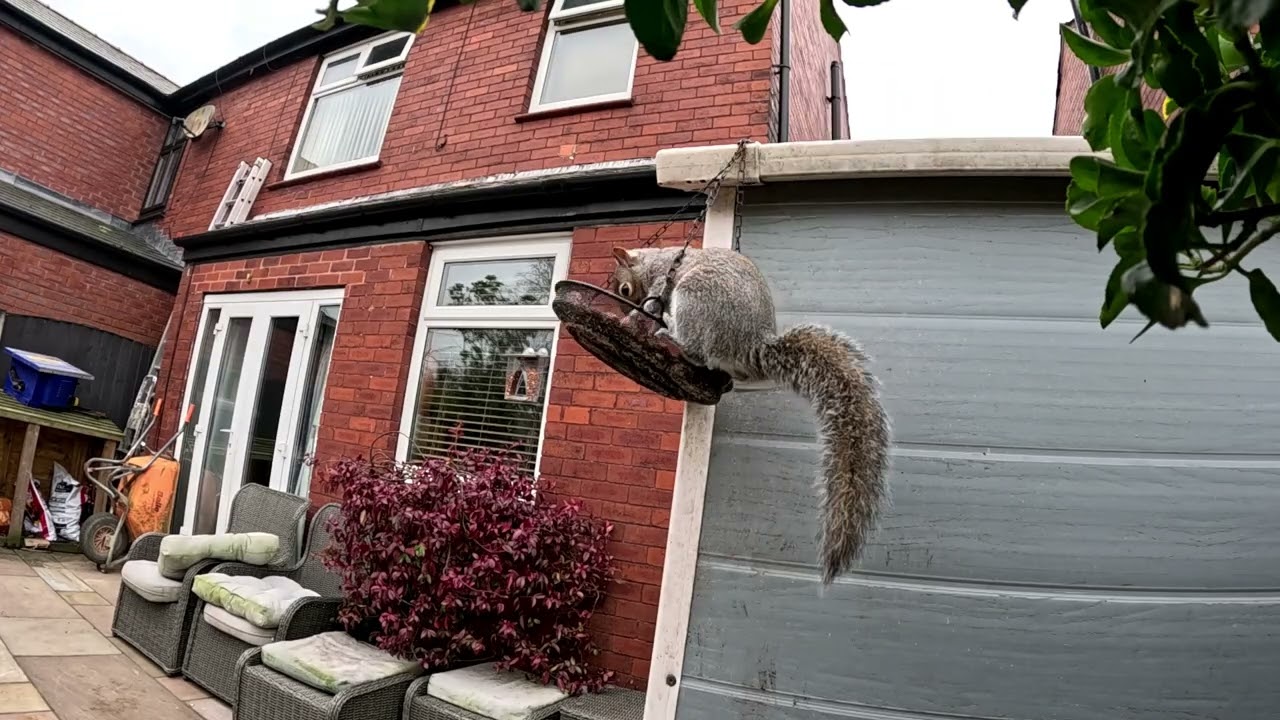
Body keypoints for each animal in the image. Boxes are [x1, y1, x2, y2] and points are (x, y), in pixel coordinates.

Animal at [610, 246, 891, 585]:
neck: (659, 259)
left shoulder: (661, 284)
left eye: (624, 289)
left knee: (696, 352)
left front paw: (635, 316)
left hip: (696, 296)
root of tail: (750, 347)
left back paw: (670, 331)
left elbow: (652, 302)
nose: (626, 304)